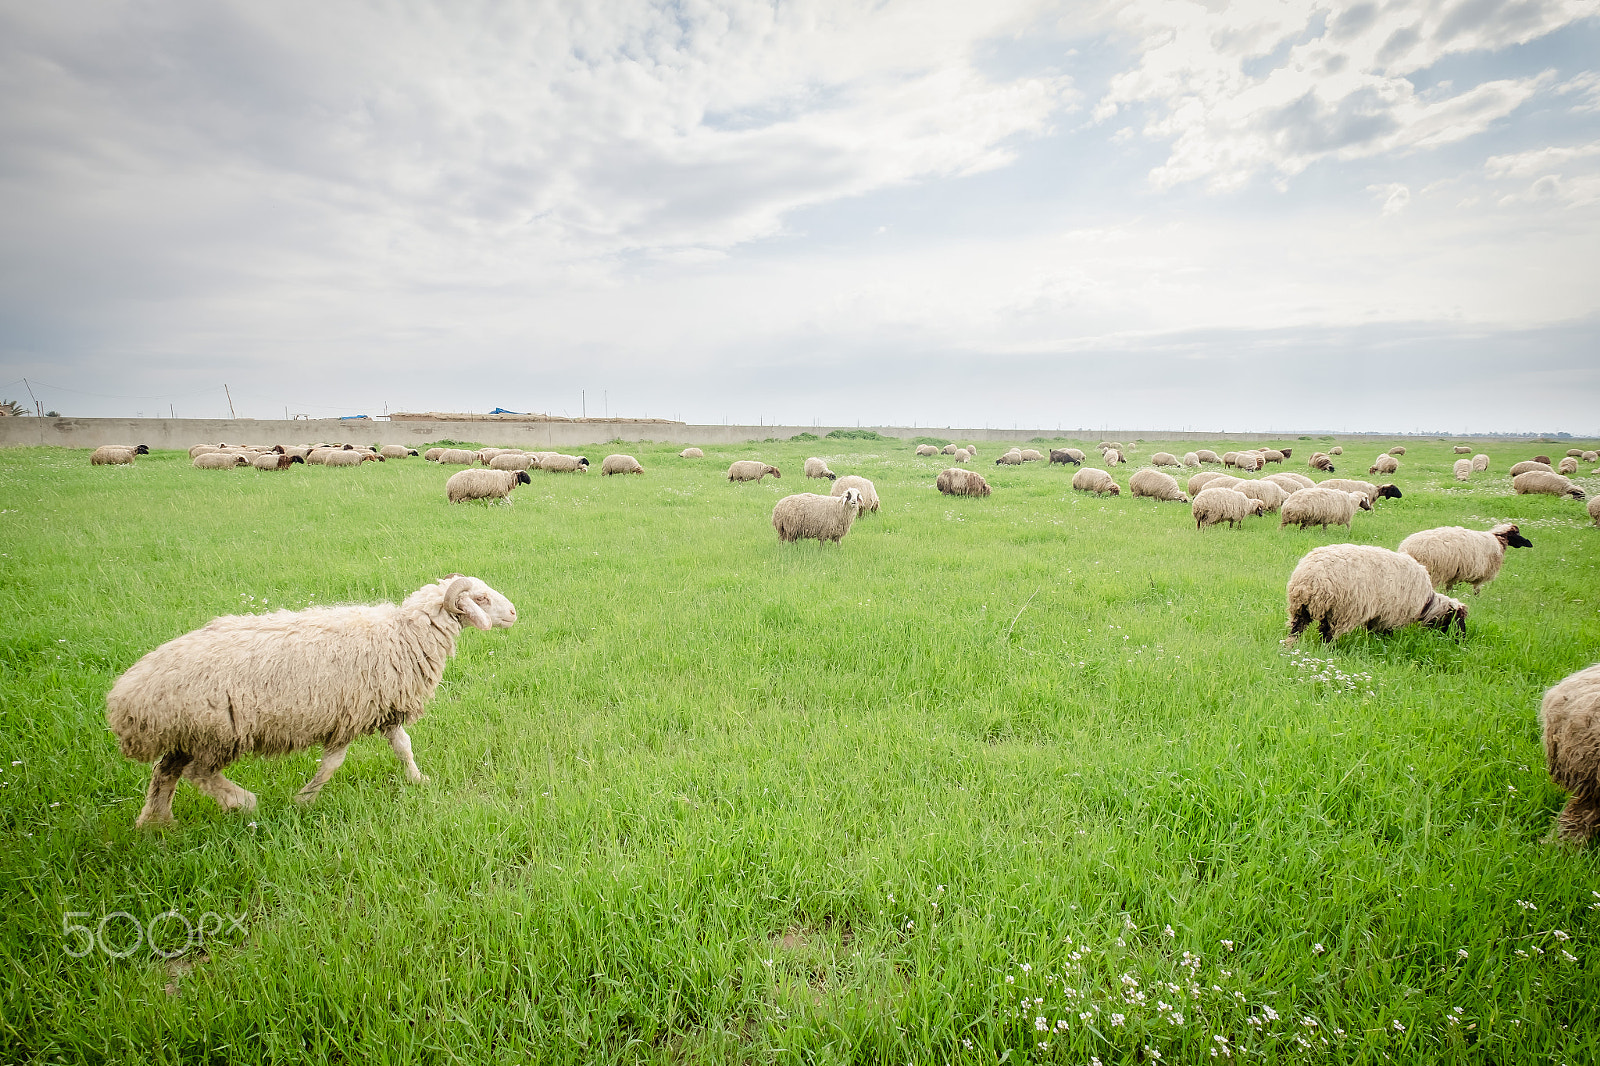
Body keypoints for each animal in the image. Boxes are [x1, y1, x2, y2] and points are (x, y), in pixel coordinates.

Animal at [106, 574, 516, 827]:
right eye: (481, 598)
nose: (513, 612)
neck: (404, 634)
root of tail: (127, 696)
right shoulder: (349, 717)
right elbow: (333, 764)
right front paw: (304, 798)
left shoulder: (384, 710)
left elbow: (404, 747)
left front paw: (418, 780)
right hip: (215, 732)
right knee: (197, 773)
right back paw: (242, 802)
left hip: (185, 733)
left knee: (165, 773)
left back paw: (156, 824)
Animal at [1285, 545, 1466, 645]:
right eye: (1457, 619)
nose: (1461, 639)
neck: (1426, 603)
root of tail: (1309, 579)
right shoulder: (1390, 615)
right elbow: (1384, 632)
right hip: (1340, 610)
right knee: (1328, 634)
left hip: (1301, 608)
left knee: (1296, 629)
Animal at [1398, 523, 1532, 594]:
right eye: (1517, 534)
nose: (1529, 543)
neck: (1498, 540)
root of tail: (1407, 547)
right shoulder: (1481, 574)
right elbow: (1477, 591)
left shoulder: (1454, 575)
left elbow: (1450, 589)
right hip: (1433, 572)